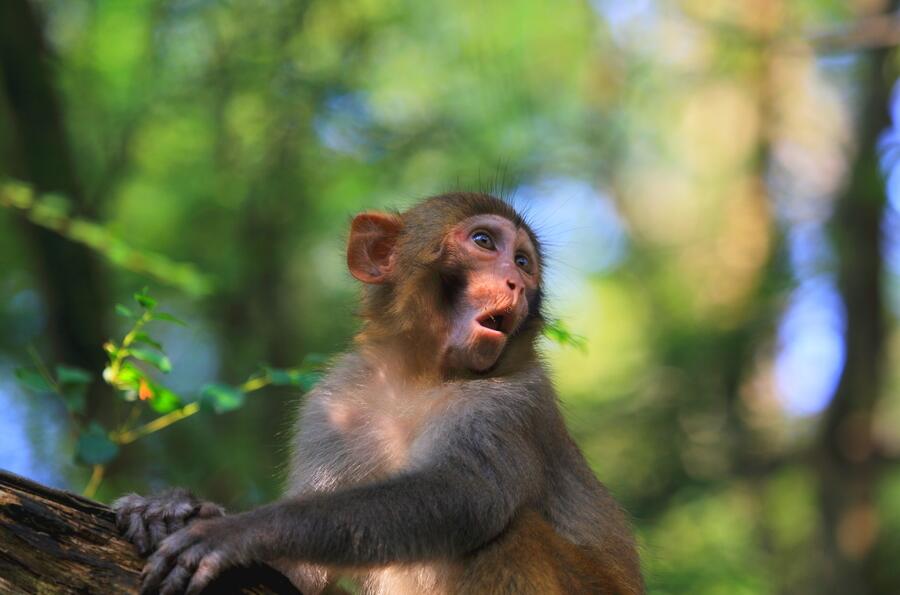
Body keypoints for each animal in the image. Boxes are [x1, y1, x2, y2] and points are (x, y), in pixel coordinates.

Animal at [112, 193, 644, 592]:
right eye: (483, 241)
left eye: (522, 261)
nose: (514, 280)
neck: (419, 377)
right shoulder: (331, 402)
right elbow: (299, 574)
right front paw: (174, 507)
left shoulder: (513, 403)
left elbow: (467, 496)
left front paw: (239, 529)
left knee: (514, 533)